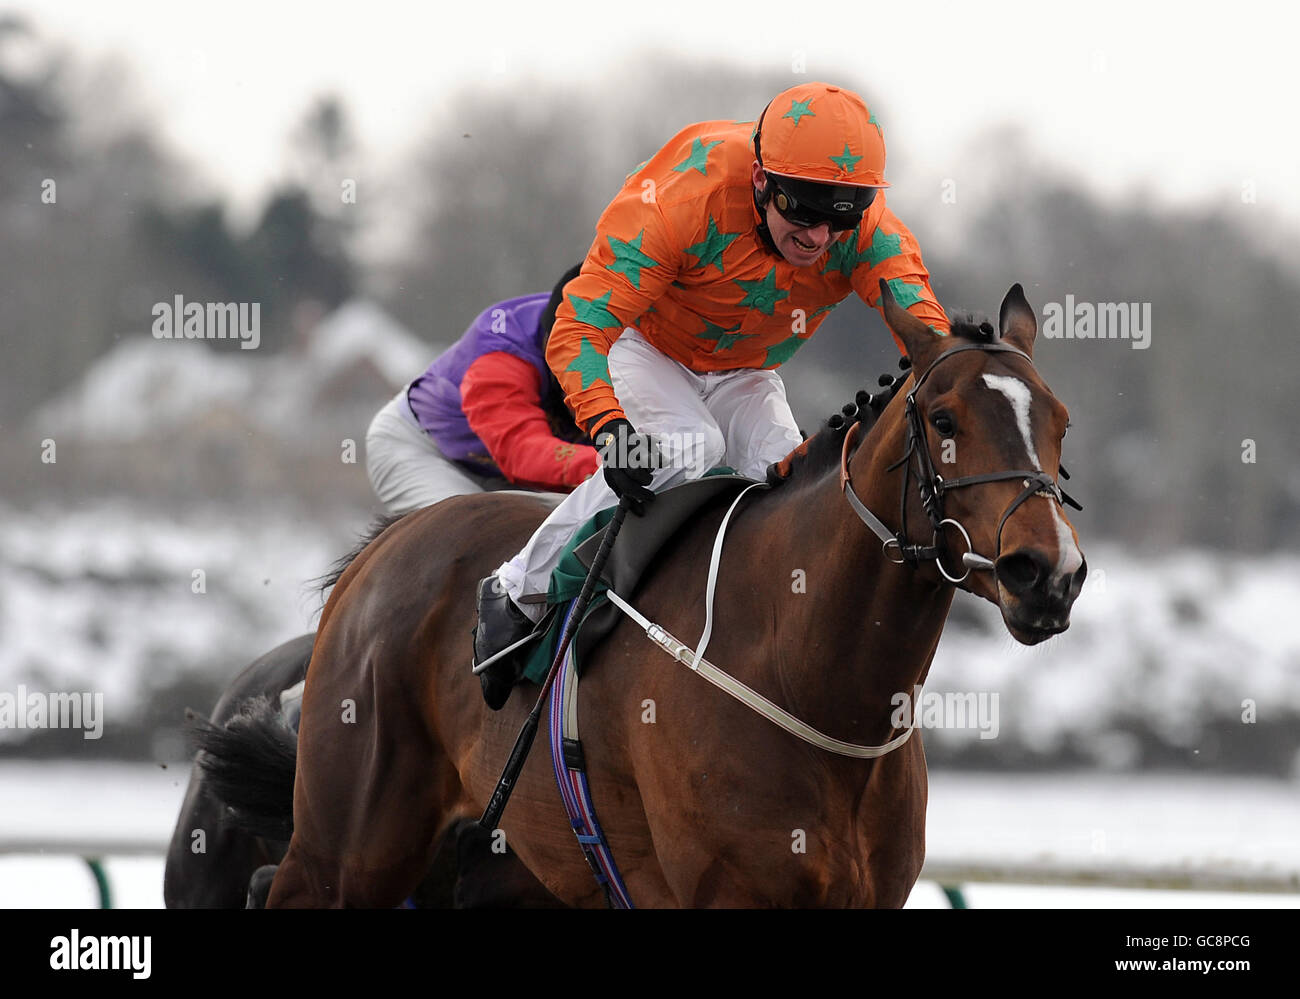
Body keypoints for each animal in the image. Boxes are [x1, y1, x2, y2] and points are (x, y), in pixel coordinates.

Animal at [263, 284, 1086, 910]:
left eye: (1060, 421)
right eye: (944, 420)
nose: (1047, 571)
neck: (807, 674)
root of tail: (385, 545)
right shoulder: (727, 893)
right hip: (340, 853)